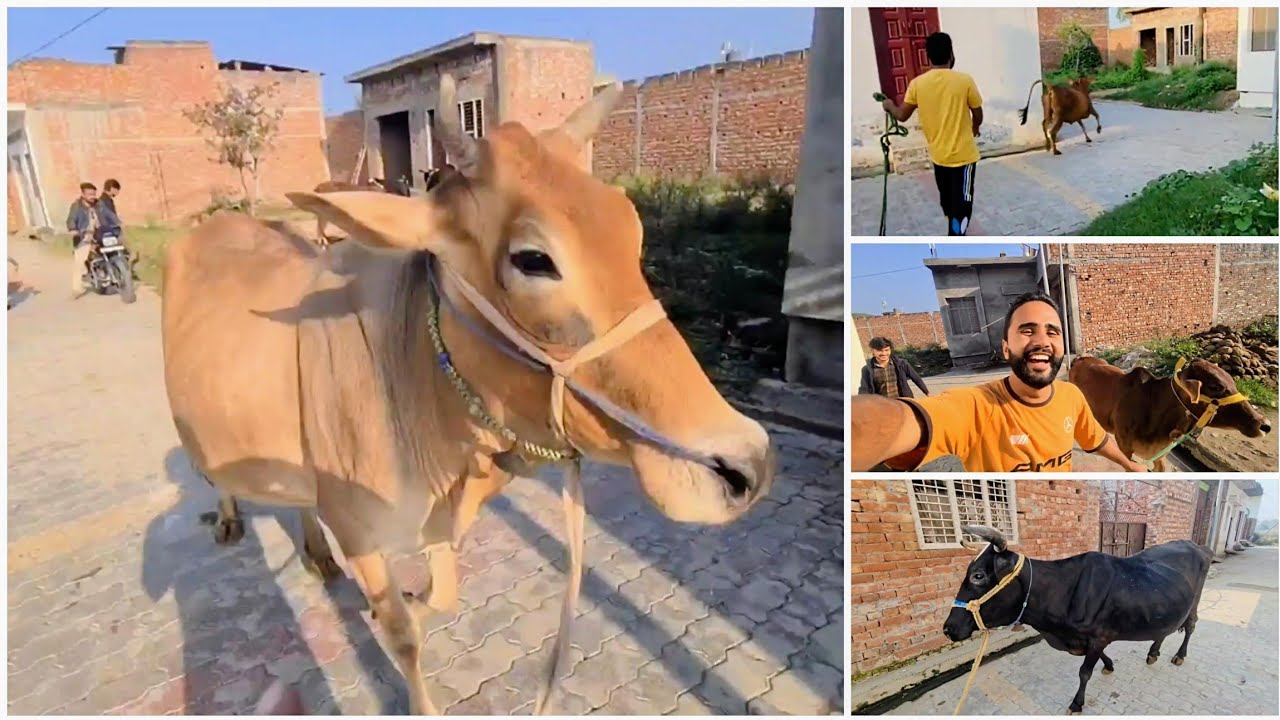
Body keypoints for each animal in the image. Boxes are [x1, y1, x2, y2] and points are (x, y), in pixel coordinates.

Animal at [160, 72, 774, 715]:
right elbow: (402, 633)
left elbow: (438, 600)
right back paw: (229, 518)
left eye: (631, 229)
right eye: (533, 259)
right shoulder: (360, 532)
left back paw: (317, 554)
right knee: (212, 471)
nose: (747, 465)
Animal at [945, 524, 1212, 715]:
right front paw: (1109, 665)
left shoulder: (1098, 636)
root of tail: (1197, 546)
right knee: (1164, 629)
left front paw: (1076, 703)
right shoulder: (1091, 639)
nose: (948, 629)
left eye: (978, 575)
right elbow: (1097, 658)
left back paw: (1179, 655)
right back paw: (1153, 653)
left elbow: (1084, 671)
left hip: (1195, 601)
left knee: (1190, 625)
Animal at [1070, 356, 1271, 471]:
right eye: (1216, 386)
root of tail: (1080, 358)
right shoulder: (1126, 449)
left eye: (1232, 381)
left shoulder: (1160, 456)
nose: (1264, 424)